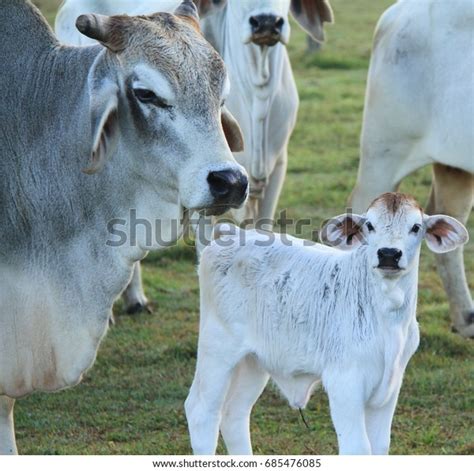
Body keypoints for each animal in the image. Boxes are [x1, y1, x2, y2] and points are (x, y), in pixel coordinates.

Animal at [185, 194, 466, 456]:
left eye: (416, 227)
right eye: (370, 225)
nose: (388, 254)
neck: (389, 319)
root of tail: (234, 234)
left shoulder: (390, 386)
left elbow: (379, 446)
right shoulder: (344, 381)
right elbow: (358, 448)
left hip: (253, 360)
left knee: (235, 414)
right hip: (217, 348)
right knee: (201, 411)